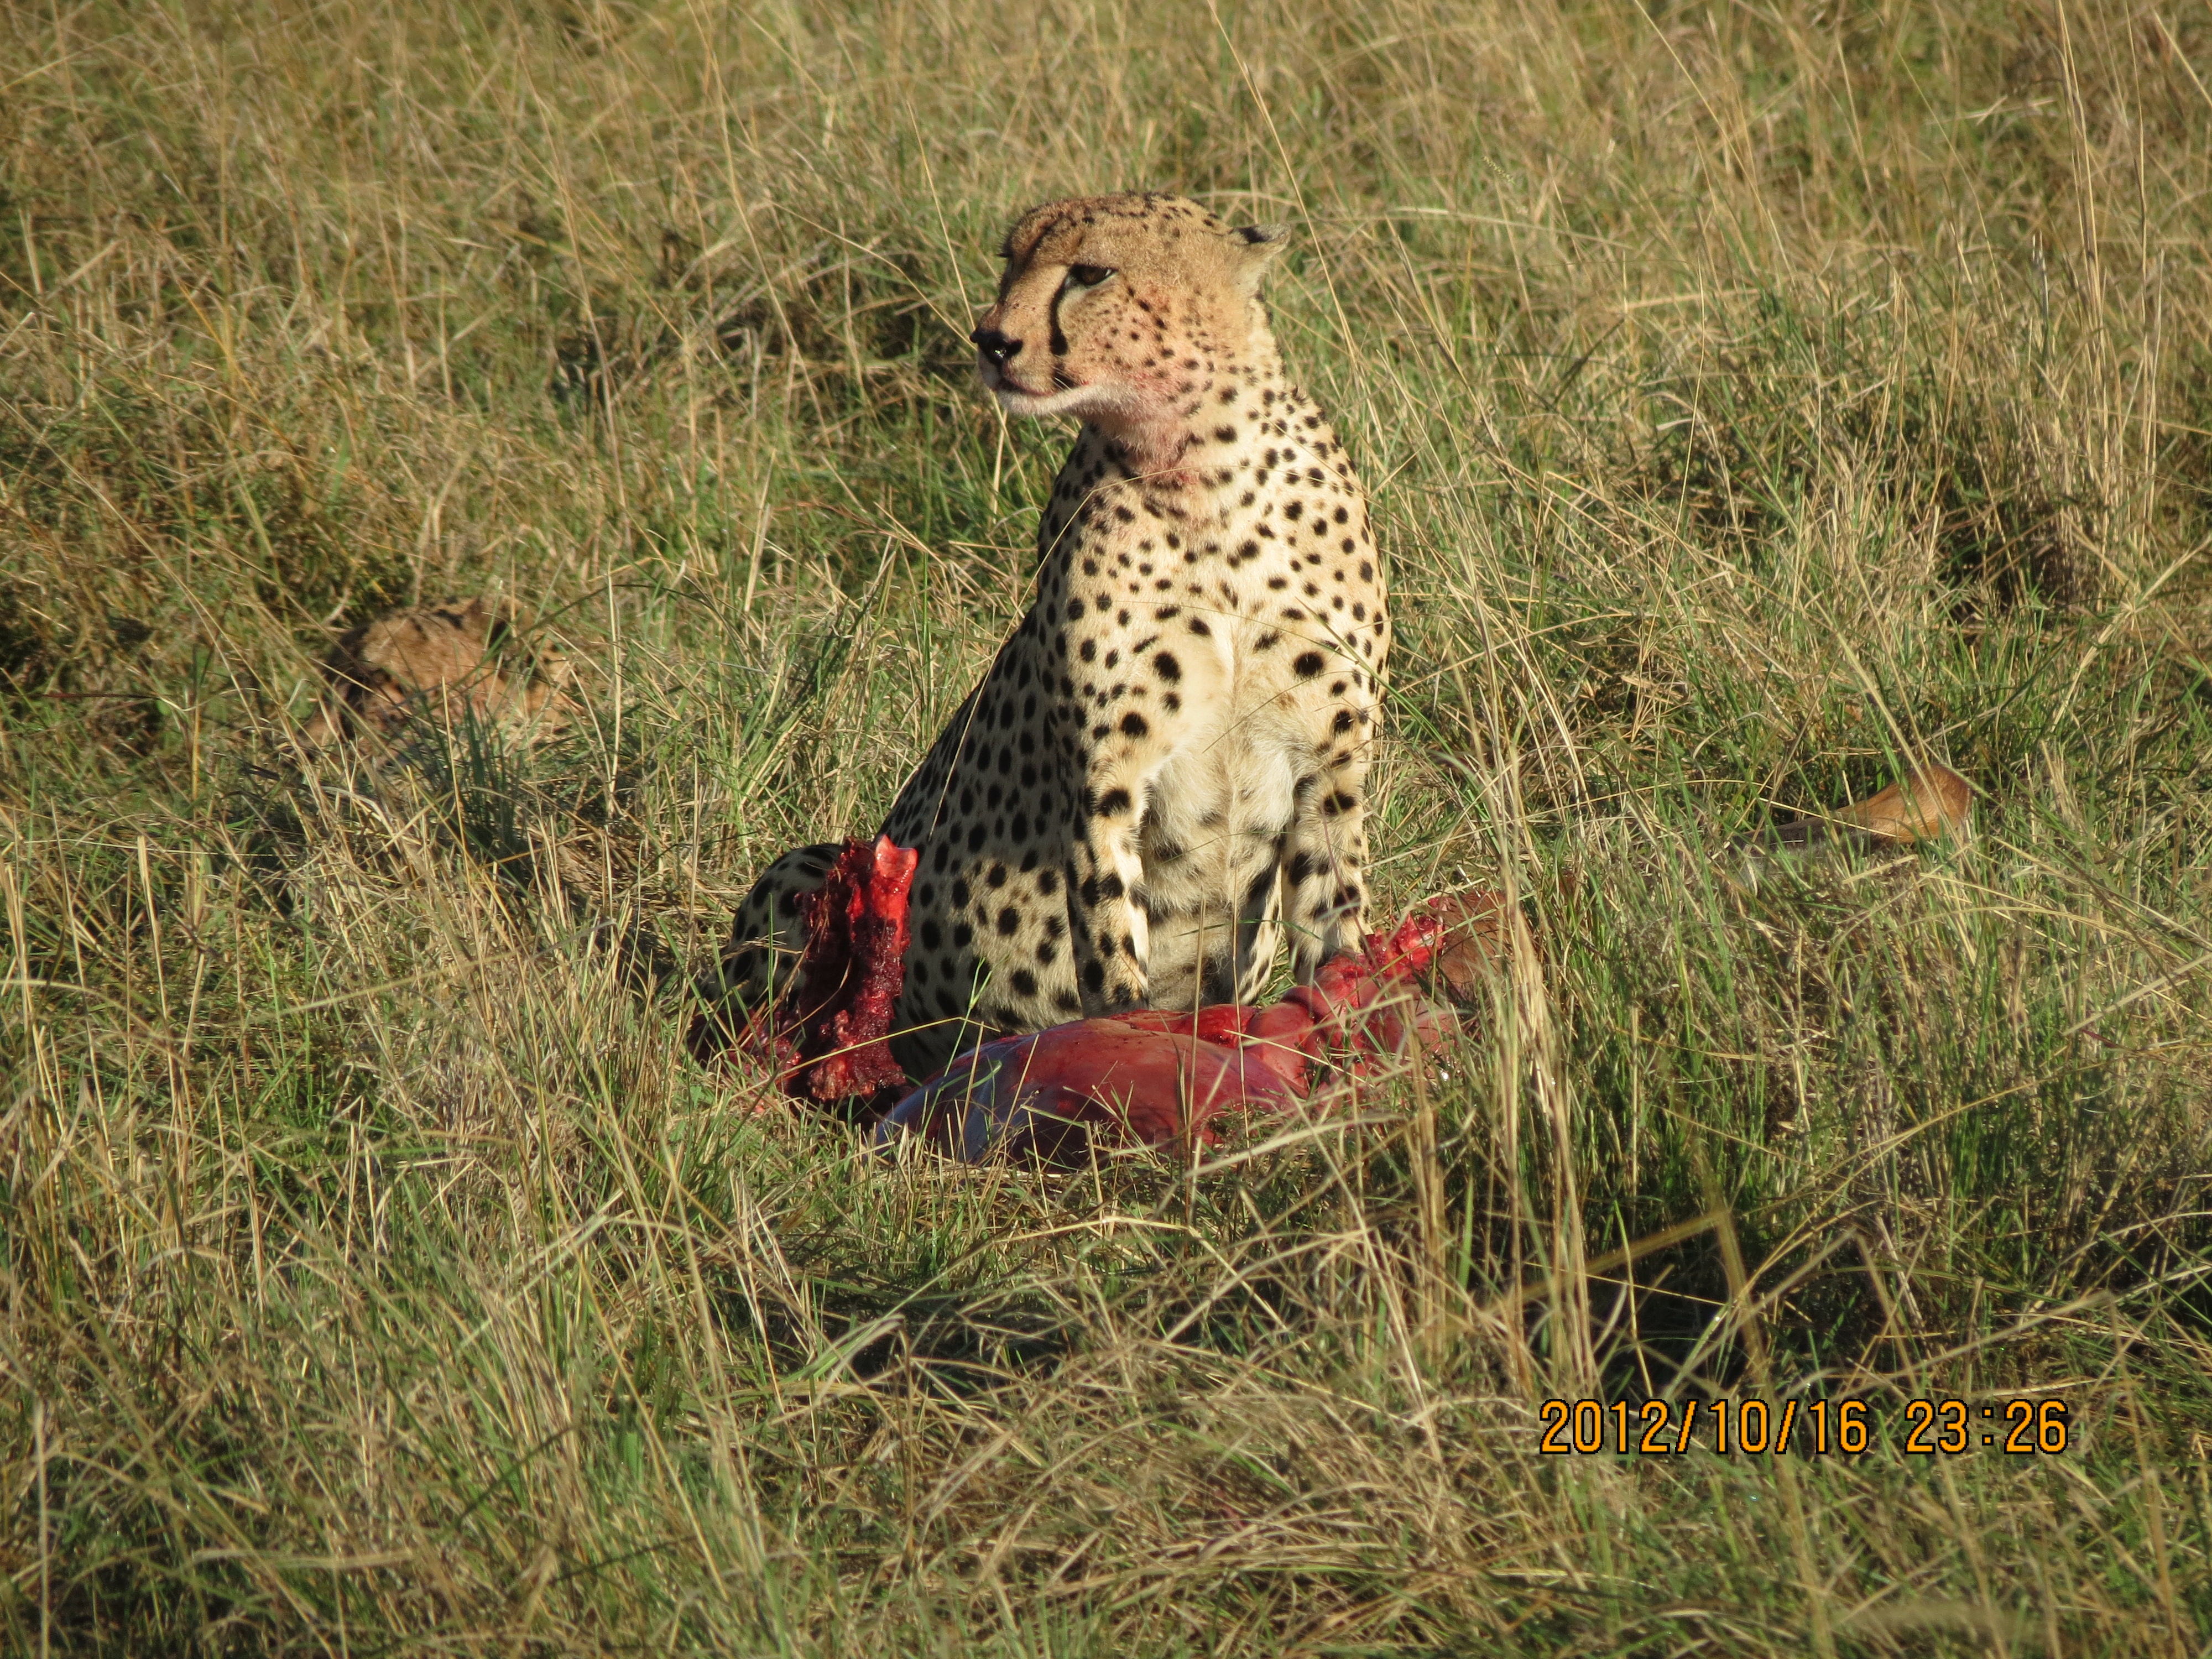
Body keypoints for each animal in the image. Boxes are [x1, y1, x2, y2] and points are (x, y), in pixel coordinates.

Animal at [699, 192, 1387, 1084]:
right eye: (1010, 260)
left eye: (1091, 272)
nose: (990, 338)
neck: (1200, 474)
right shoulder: (1106, 775)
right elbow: (1110, 939)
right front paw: (1128, 1055)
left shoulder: (1330, 762)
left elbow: (1336, 921)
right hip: (817, 868)